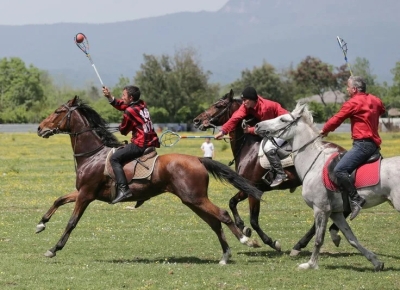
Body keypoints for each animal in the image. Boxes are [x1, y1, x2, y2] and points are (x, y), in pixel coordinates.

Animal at [36, 96, 262, 264]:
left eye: (58, 111)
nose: (39, 128)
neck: (93, 154)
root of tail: (198, 159)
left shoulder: (86, 195)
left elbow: (72, 222)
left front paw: (54, 248)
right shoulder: (82, 192)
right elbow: (58, 200)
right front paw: (41, 224)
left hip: (195, 198)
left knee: (222, 214)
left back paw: (247, 240)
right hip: (192, 200)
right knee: (214, 222)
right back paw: (225, 255)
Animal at [192, 89, 348, 253]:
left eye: (219, 105)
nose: (196, 121)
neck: (248, 147)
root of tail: (343, 151)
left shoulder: (253, 190)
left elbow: (254, 220)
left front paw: (272, 242)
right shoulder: (248, 187)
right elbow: (232, 202)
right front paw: (242, 227)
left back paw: (302, 244)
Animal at [255, 101, 396, 270]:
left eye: (282, 119)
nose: (257, 125)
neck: (314, 164)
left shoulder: (321, 209)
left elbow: (318, 239)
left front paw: (310, 264)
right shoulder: (336, 213)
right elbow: (351, 238)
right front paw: (376, 261)